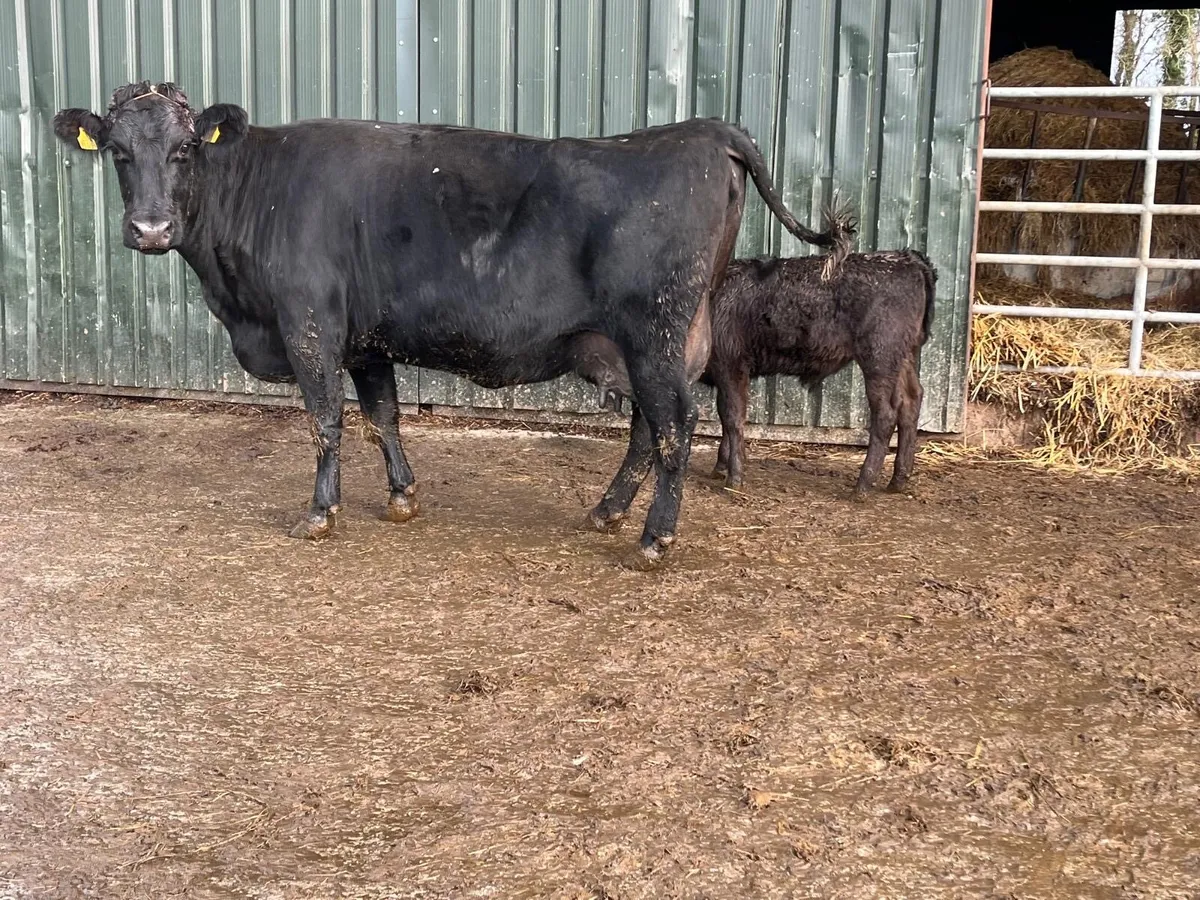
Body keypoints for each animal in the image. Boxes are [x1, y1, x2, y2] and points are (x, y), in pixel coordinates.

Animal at [53, 81, 838, 566]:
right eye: (118, 153)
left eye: (185, 148)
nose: (150, 229)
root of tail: (703, 130)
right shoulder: (365, 340)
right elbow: (382, 417)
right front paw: (402, 497)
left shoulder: (308, 326)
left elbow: (325, 421)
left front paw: (320, 512)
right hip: (648, 344)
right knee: (650, 428)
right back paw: (606, 512)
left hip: (655, 334)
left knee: (675, 426)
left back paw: (653, 538)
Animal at [578, 212, 937, 498]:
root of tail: (907, 258)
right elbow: (725, 417)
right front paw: (721, 467)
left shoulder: (732, 364)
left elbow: (733, 417)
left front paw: (734, 477)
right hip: (904, 356)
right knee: (911, 401)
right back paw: (898, 480)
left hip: (879, 355)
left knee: (886, 412)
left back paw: (863, 486)